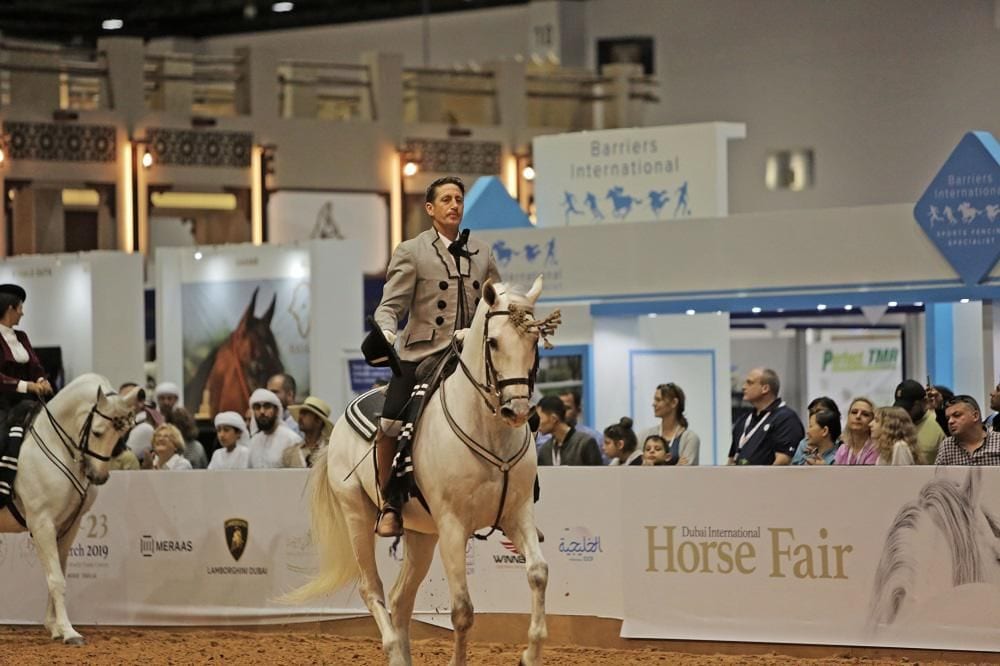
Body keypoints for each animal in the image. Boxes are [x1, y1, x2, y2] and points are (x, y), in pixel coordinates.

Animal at [0, 374, 144, 645]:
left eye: (121, 435)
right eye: (97, 432)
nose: (98, 477)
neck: (54, 445)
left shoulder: (67, 526)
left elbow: (58, 573)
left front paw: (54, 627)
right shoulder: (42, 524)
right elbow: (56, 579)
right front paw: (69, 632)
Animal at [286, 276, 559, 666]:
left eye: (534, 341)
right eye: (493, 341)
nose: (517, 410)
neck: (487, 430)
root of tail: (338, 426)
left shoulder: (516, 514)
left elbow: (538, 573)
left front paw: (530, 654)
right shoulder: (453, 526)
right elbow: (462, 610)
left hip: (421, 535)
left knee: (401, 597)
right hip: (357, 516)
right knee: (373, 589)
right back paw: (393, 649)